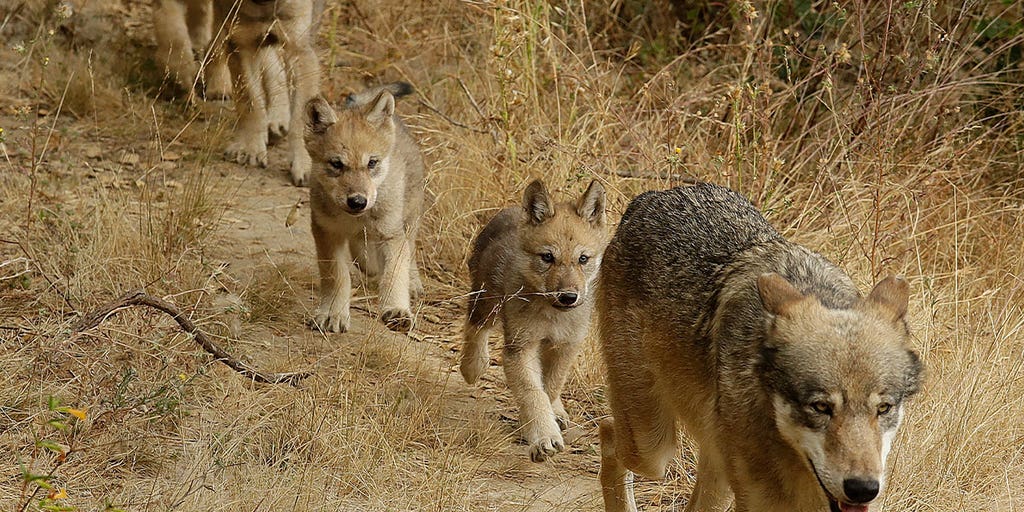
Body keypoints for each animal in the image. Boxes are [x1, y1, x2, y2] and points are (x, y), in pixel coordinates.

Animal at [304, 83, 424, 334]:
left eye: (372, 163)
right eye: (336, 164)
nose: (358, 201)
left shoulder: (391, 234)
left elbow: (394, 274)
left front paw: (396, 310)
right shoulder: (327, 233)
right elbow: (337, 277)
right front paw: (333, 314)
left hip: (409, 219)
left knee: (410, 250)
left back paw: (414, 282)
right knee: (366, 259)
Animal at [460, 179, 608, 462]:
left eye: (583, 259)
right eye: (547, 257)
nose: (568, 297)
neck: (553, 317)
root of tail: (510, 210)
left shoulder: (566, 346)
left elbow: (550, 387)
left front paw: (541, 423)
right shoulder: (520, 347)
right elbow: (533, 393)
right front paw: (543, 436)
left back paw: (559, 413)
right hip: (486, 302)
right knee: (474, 328)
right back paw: (473, 366)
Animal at [597, 183, 923, 512]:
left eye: (883, 408)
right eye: (820, 407)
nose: (863, 488)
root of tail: (655, 194)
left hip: (712, 467)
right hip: (652, 447)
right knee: (609, 433)